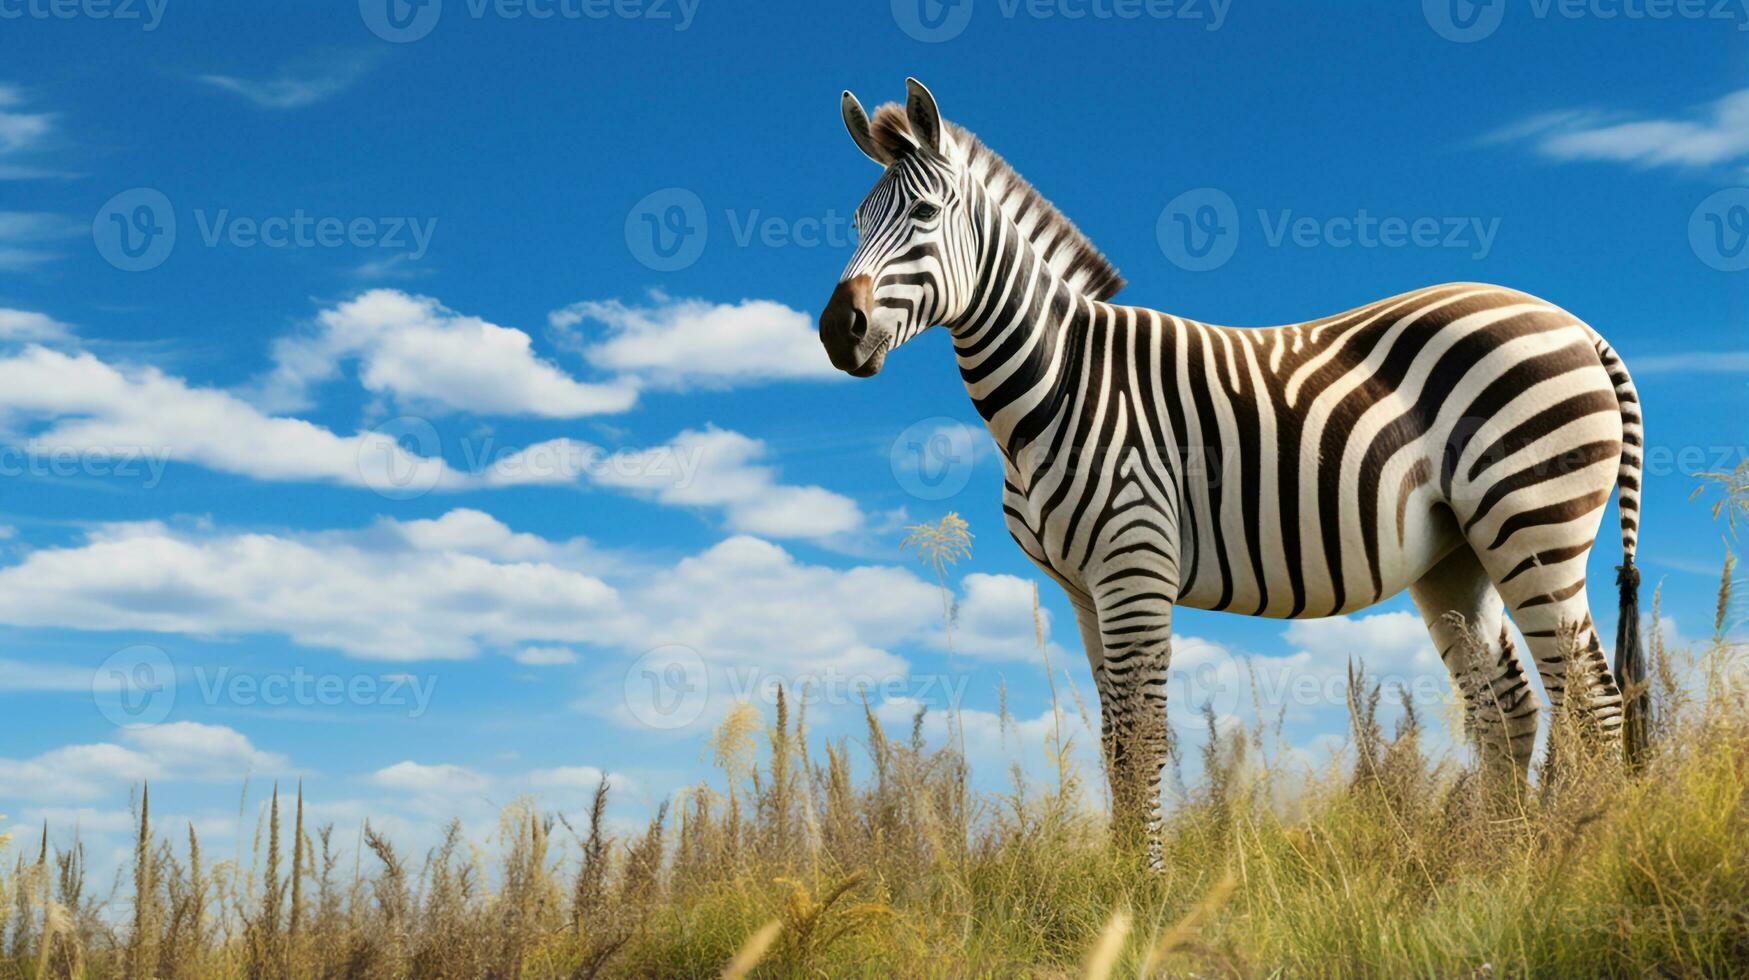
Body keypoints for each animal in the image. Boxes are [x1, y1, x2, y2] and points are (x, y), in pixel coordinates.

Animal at [818, 78, 1651, 857]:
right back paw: (1497, 865)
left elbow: (1142, 739)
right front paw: (1119, 880)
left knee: (1592, 702)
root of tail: (1577, 325)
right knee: (1508, 706)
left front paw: (1147, 889)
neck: (1059, 380)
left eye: (925, 216)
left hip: (1532, 523)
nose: (834, 332)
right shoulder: (1083, 590)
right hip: (1457, 555)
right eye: (856, 222)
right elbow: (1113, 741)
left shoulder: (1135, 564)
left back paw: (1576, 862)